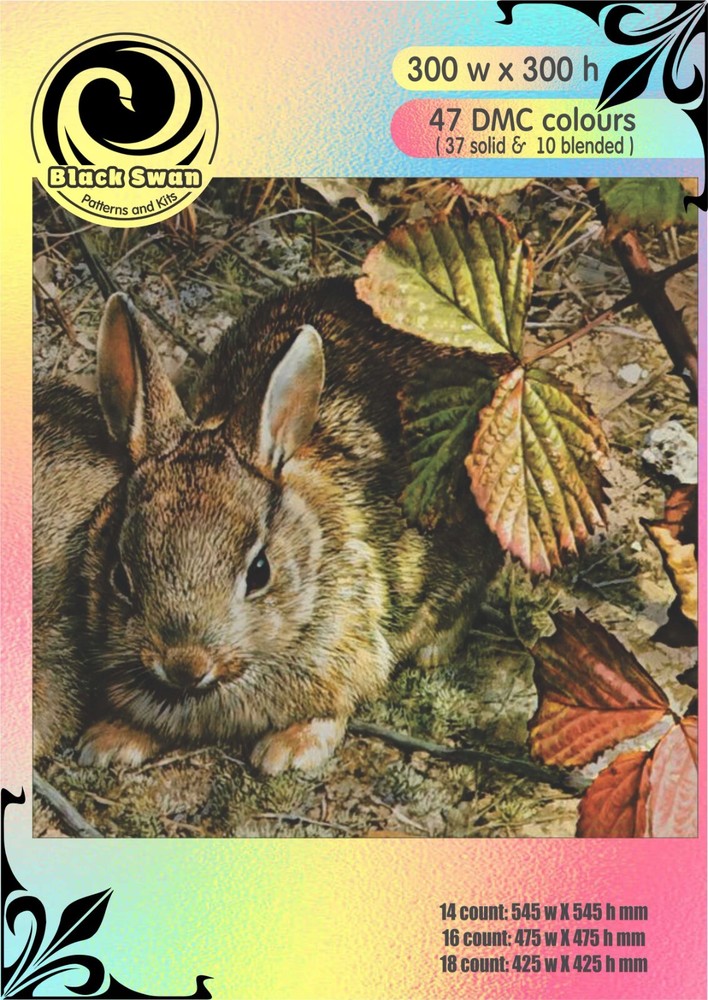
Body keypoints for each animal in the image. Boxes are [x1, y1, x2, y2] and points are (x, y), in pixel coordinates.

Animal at [72, 281, 502, 775]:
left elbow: (334, 707)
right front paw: (109, 741)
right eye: (120, 577)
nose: (185, 664)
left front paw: (288, 751)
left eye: (259, 573)